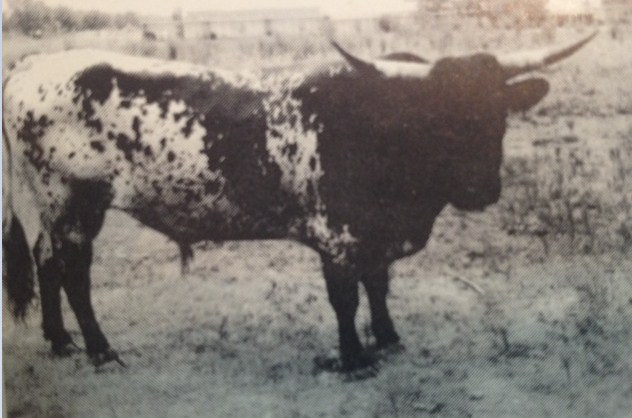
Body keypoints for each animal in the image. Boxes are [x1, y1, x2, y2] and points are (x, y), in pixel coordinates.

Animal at [2, 32, 596, 376]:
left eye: (498, 113)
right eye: (436, 118)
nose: (479, 191)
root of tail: (31, 65)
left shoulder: (372, 235)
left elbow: (377, 284)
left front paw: (388, 338)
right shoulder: (337, 235)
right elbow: (346, 298)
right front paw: (355, 358)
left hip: (52, 206)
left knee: (45, 260)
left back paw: (59, 341)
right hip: (72, 201)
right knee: (73, 272)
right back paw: (100, 350)